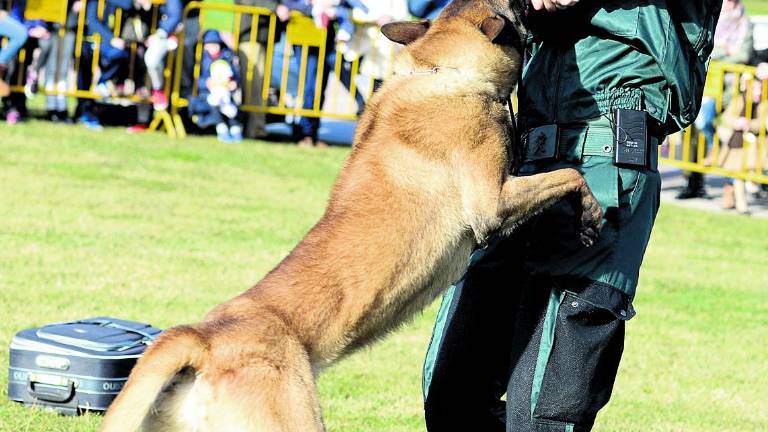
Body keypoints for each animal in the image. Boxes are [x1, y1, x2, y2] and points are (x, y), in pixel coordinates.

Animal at [99, 1, 600, 430]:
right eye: (516, 7)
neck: (439, 70)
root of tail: (205, 336)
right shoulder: (492, 201)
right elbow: (569, 174)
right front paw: (591, 213)